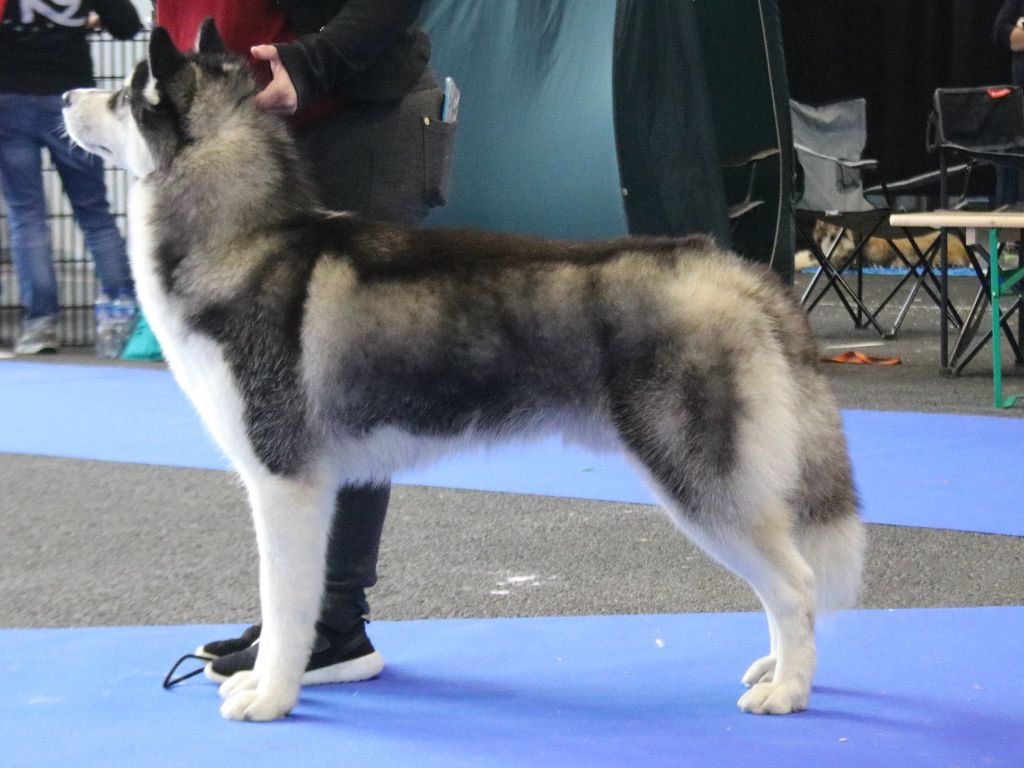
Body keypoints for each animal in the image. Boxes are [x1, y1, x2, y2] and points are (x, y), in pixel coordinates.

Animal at [62, 21, 864, 722]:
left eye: (126, 94)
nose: (68, 95)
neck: (246, 237)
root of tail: (733, 268)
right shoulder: (311, 483)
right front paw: (265, 680)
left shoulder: (284, 480)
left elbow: (284, 607)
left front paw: (272, 697)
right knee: (784, 582)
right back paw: (779, 667)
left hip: (697, 477)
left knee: (794, 583)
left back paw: (790, 689)